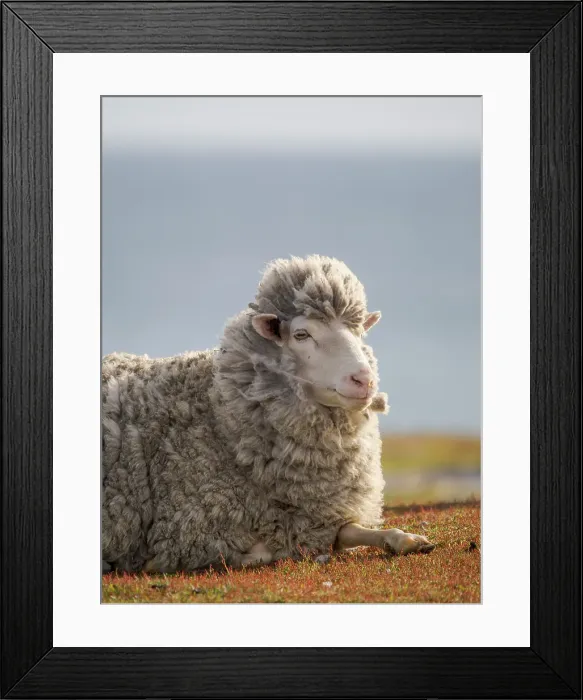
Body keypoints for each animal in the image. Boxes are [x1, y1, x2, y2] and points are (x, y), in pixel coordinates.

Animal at [102, 255, 435, 573]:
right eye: (301, 334)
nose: (364, 380)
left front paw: (408, 539)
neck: (220, 421)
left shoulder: (317, 517)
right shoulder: (191, 530)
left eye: (359, 332)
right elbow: (263, 553)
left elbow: (351, 530)